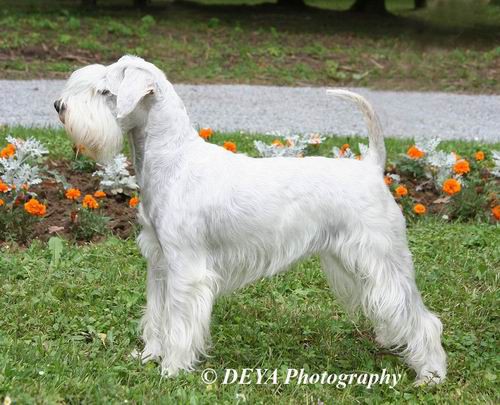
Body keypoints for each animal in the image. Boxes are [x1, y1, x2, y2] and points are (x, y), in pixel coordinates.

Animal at [56, 55, 448, 384]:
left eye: (105, 91)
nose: (59, 106)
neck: (173, 160)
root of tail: (372, 166)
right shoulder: (159, 261)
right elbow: (157, 313)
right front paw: (150, 355)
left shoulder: (186, 268)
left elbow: (178, 320)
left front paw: (172, 368)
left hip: (382, 256)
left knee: (422, 318)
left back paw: (430, 373)